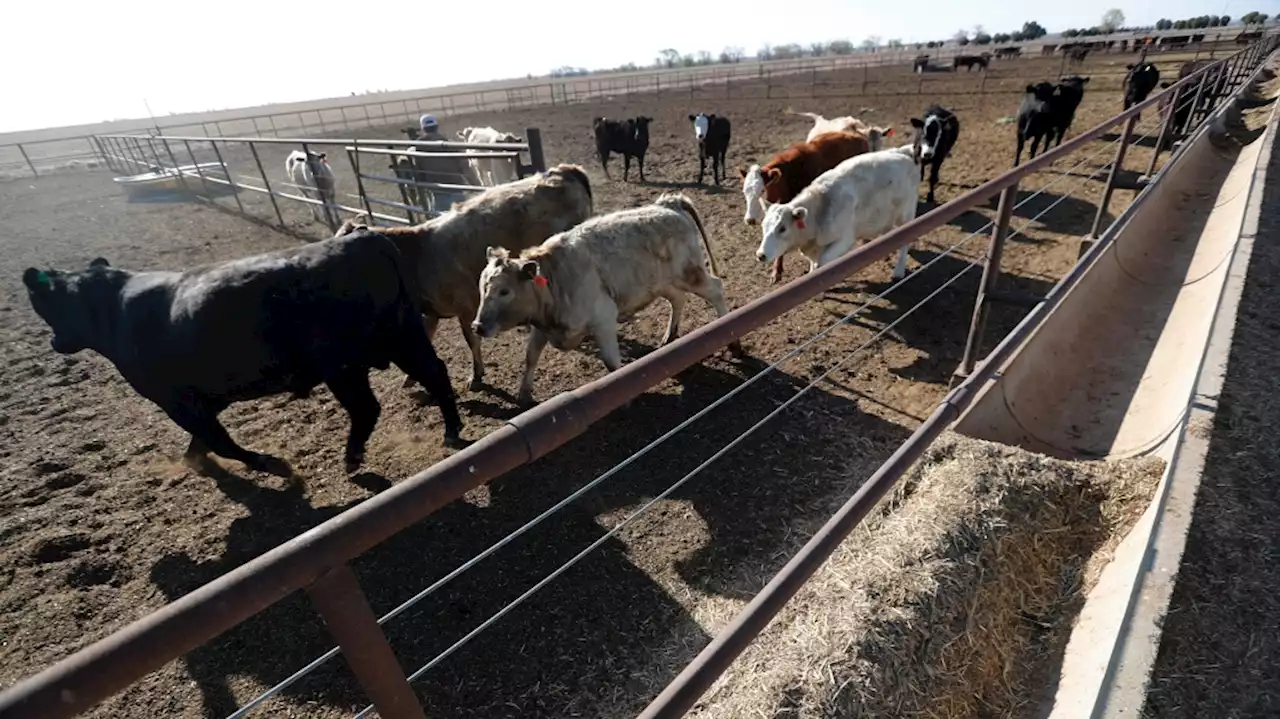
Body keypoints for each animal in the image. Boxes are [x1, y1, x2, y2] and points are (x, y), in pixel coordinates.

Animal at [21, 232, 465, 473]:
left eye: (43, 299)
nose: (55, 342)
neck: (115, 305)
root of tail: (363, 240)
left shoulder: (176, 400)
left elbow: (218, 441)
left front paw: (268, 463)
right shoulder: (204, 398)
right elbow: (202, 440)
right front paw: (194, 463)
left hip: (345, 366)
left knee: (367, 408)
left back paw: (352, 457)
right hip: (403, 339)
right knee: (436, 375)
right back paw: (450, 429)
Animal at [335, 161, 593, 388]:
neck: (418, 254)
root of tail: (564, 171)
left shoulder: (465, 308)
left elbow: (472, 340)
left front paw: (476, 375)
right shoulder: (432, 311)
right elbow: (428, 337)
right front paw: (411, 378)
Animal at [476, 191, 747, 404]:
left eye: (504, 291)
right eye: (482, 288)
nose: (478, 326)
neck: (556, 278)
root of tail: (669, 204)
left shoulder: (603, 318)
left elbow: (610, 362)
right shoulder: (541, 326)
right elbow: (530, 356)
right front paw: (524, 394)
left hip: (691, 274)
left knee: (716, 289)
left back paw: (732, 341)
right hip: (662, 283)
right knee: (678, 299)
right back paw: (669, 337)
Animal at [752, 144, 926, 280]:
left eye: (782, 228)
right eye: (763, 227)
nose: (761, 255)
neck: (819, 211)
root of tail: (903, 152)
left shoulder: (844, 239)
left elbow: (822, 263)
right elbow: (814, 264)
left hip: (906, 215)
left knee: (905, 241)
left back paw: (899, 271)